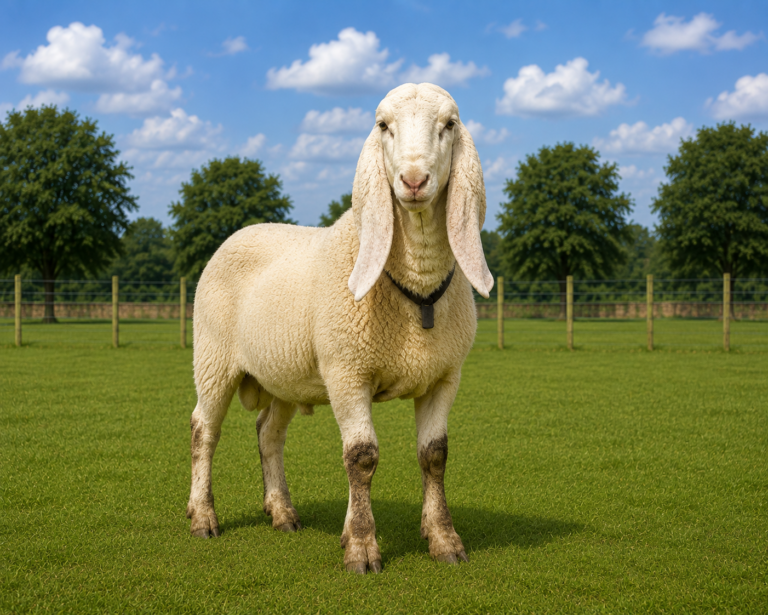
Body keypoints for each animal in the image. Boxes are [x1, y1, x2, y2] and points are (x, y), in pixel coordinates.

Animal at [186, 82, 494, 574]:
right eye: (383, 126)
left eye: (449, 125)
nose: (413, 180)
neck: (416, 291)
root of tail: (240, 231)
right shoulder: (346, 371)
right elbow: (361, 457)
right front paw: (362, 548)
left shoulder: (444, 376)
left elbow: (434, 456)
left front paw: (444, 539)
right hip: (213, 355)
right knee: (204, 430)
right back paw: (203, 517)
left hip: (284, 373)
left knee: (269, 432)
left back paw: (282, 512)